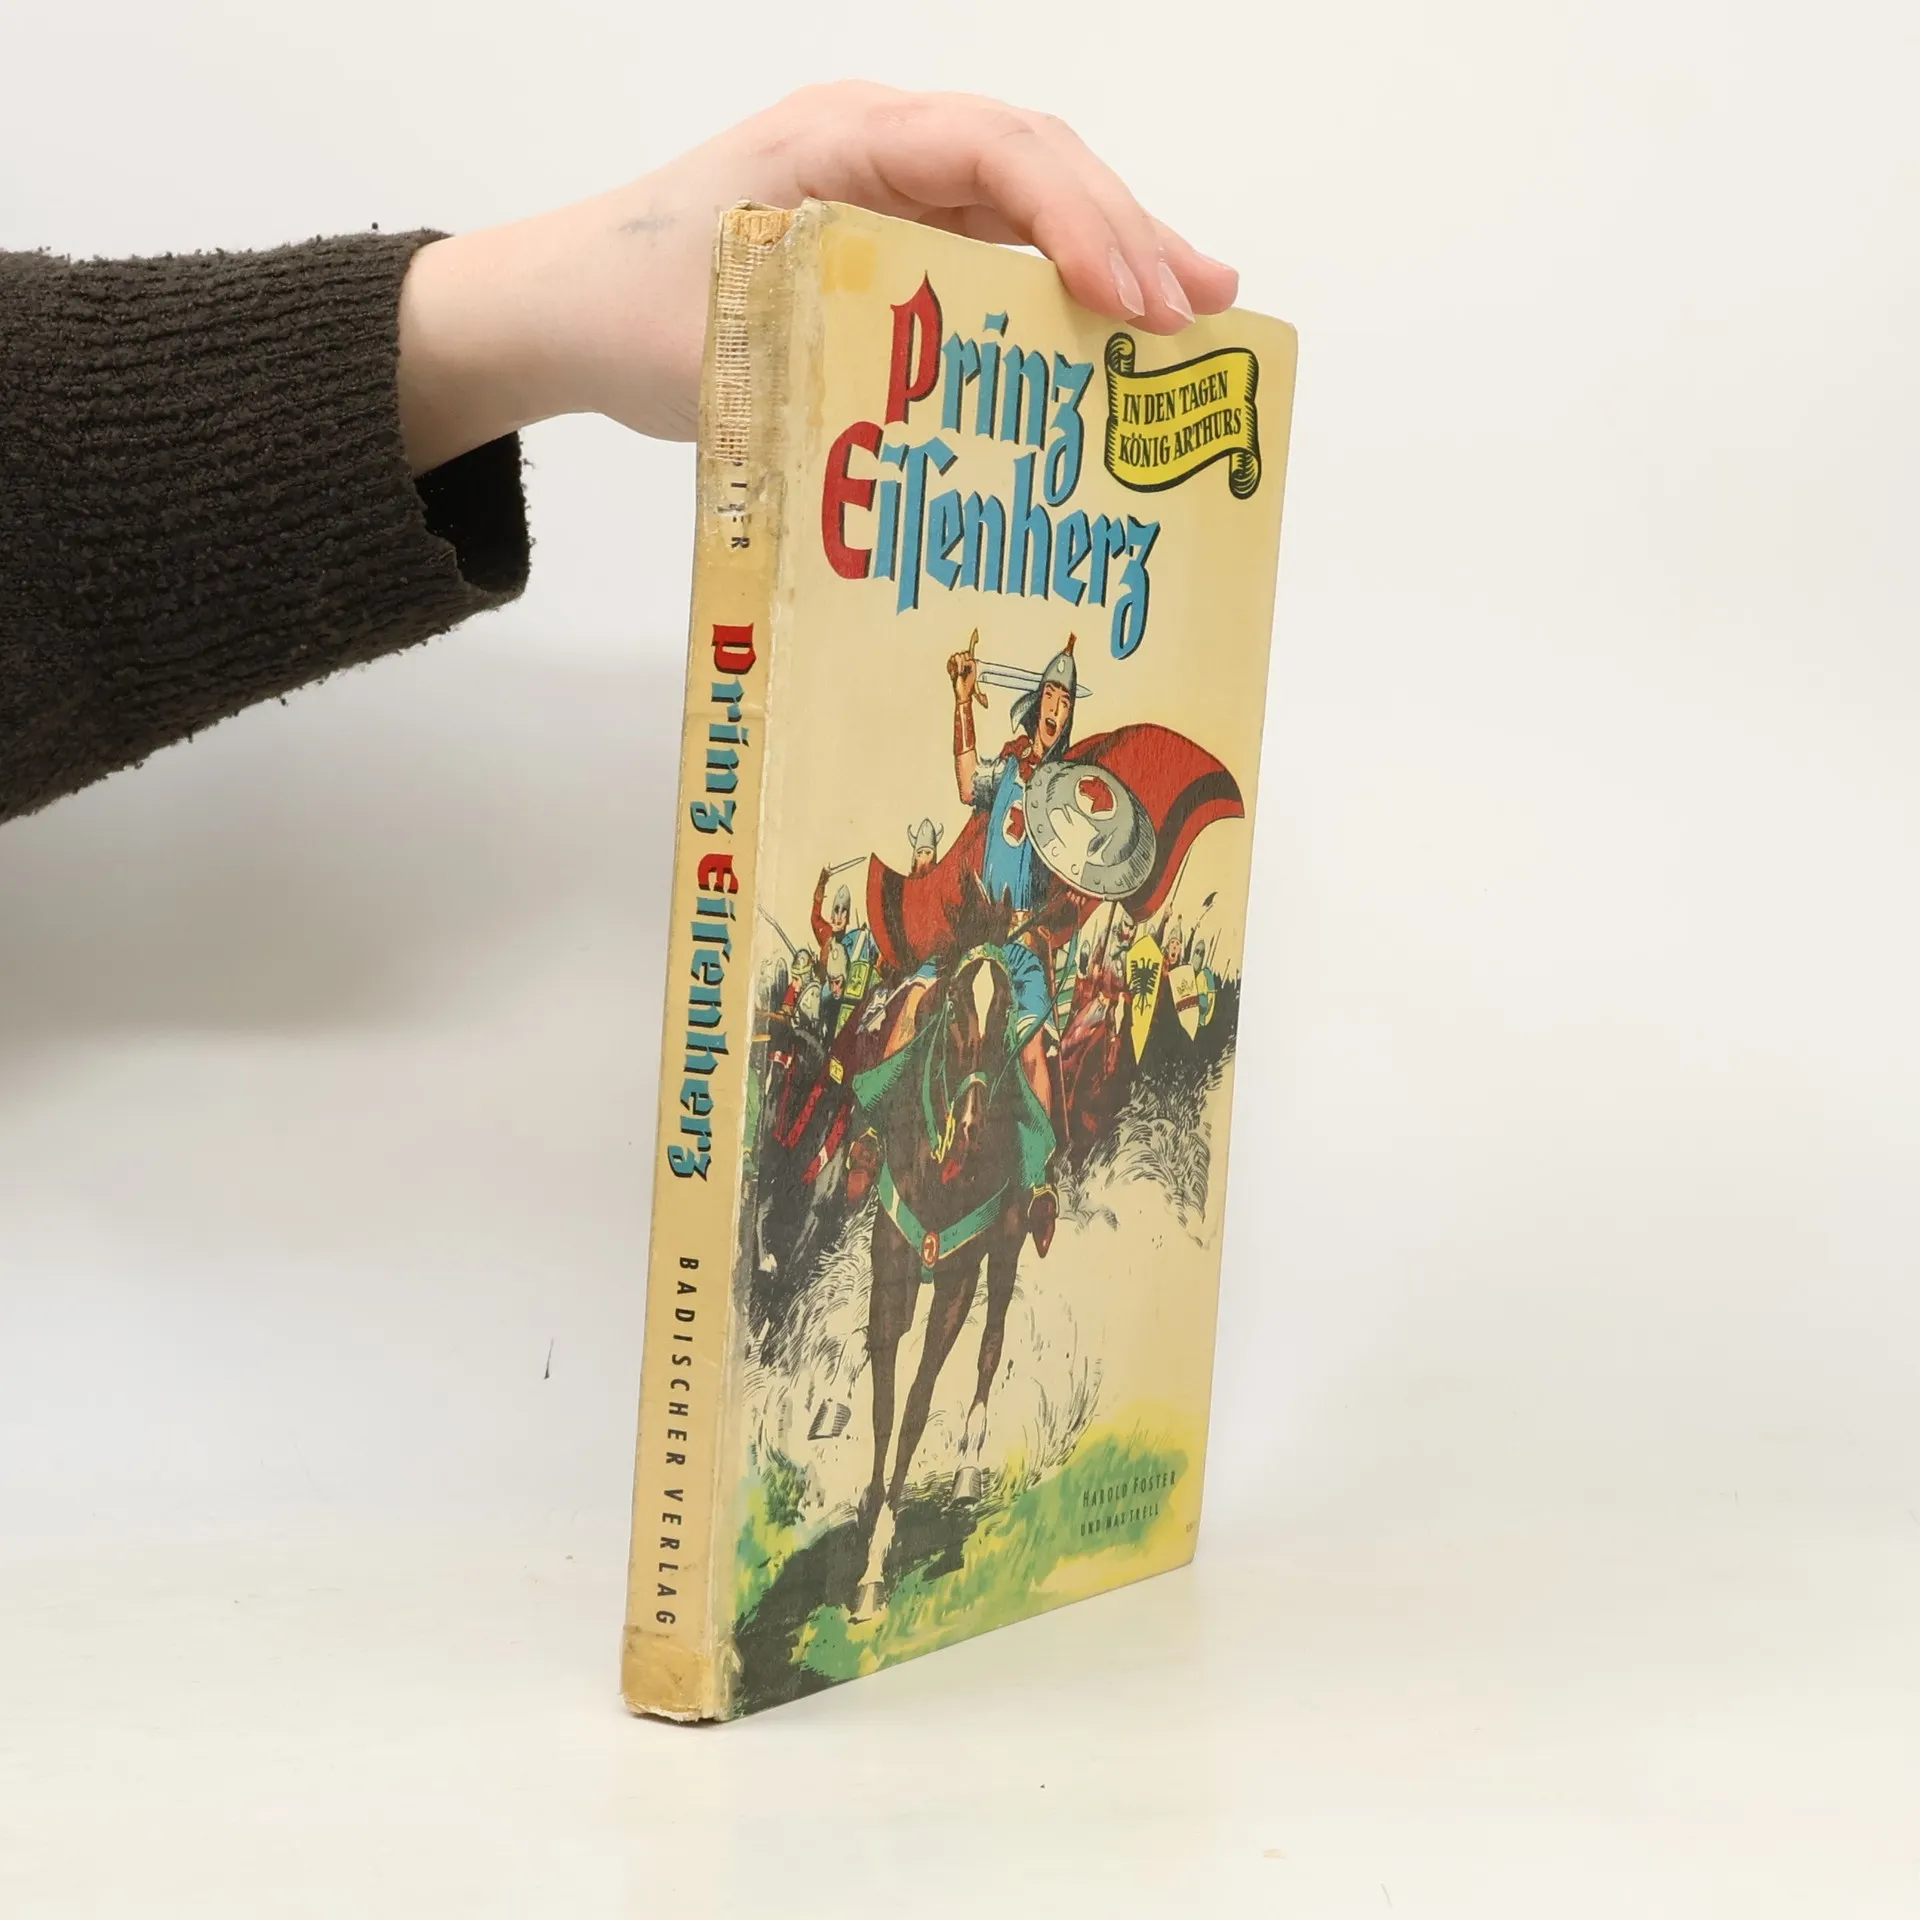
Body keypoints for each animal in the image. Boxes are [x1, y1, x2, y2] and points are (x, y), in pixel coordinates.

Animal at [849, 940, 1031, 1621]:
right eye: (952, 1006)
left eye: (1006, 1011)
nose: (974, 1129)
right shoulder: (890, 1270)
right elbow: (882, 1406)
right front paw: (870, 1505)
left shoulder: (956, 1279)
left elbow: (916, 1408)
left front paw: (876, 1564)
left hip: (1008, 1243)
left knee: (992, 1339)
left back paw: (969, 1467)